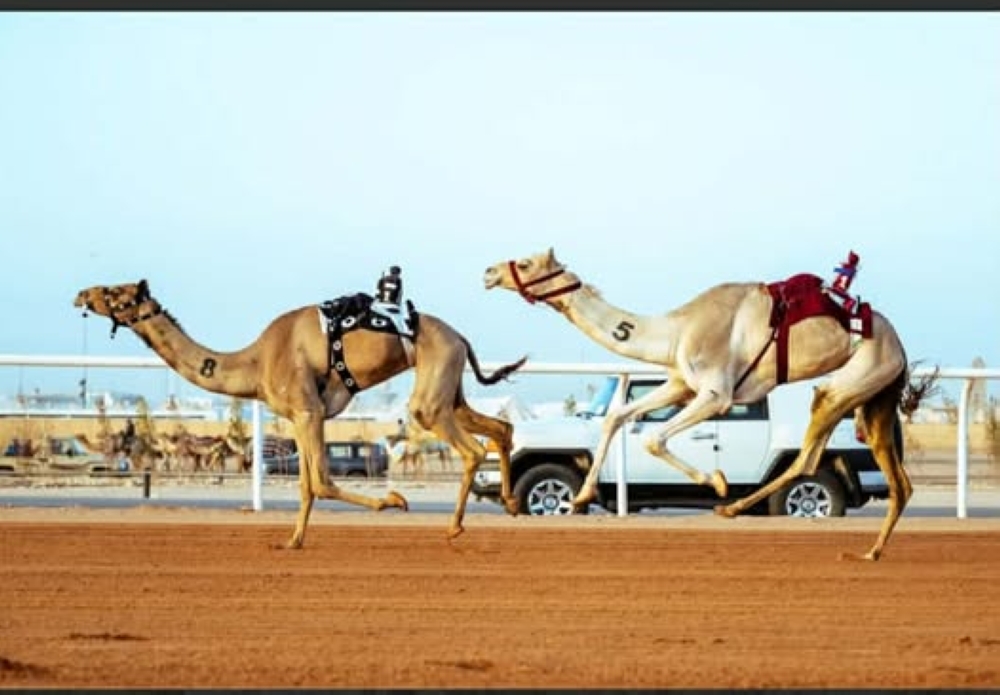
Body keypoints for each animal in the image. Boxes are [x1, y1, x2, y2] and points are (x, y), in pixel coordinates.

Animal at [74, 279, 525, 548]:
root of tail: (461, 337)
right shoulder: (303, 415)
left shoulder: (308, 411)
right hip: (450, 388)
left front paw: (394, 500)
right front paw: (292, 541)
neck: (255, 362)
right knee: (501, 428)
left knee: (470, 448)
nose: (82, 294)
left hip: (432, 389)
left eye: (116, 294)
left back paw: (454, 526)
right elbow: (306, 485)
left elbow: (322, 482)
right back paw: (509, 503)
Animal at [485, 248, 915, 561]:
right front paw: (581, 496)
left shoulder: (715, 394)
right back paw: (871, 552)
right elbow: (617, 418)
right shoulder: (680, 384)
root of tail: (899, 344)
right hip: (875, 398)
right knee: (897, 481)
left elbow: (654, 439)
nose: (489, 272)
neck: (675, 331)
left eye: (525, 262)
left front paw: (717, 481)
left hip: (853, 381)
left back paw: (732, 507)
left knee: (809, 458)